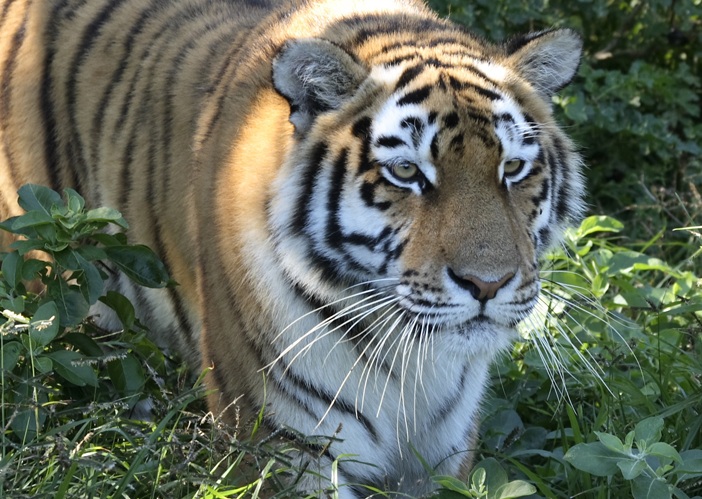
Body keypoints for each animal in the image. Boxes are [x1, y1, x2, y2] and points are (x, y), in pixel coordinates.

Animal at [0, 0, 585, 496]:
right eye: (406, 172)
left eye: (513, 168)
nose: (488, 284)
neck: (414, 363)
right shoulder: (283, 447)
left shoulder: (443, 455)